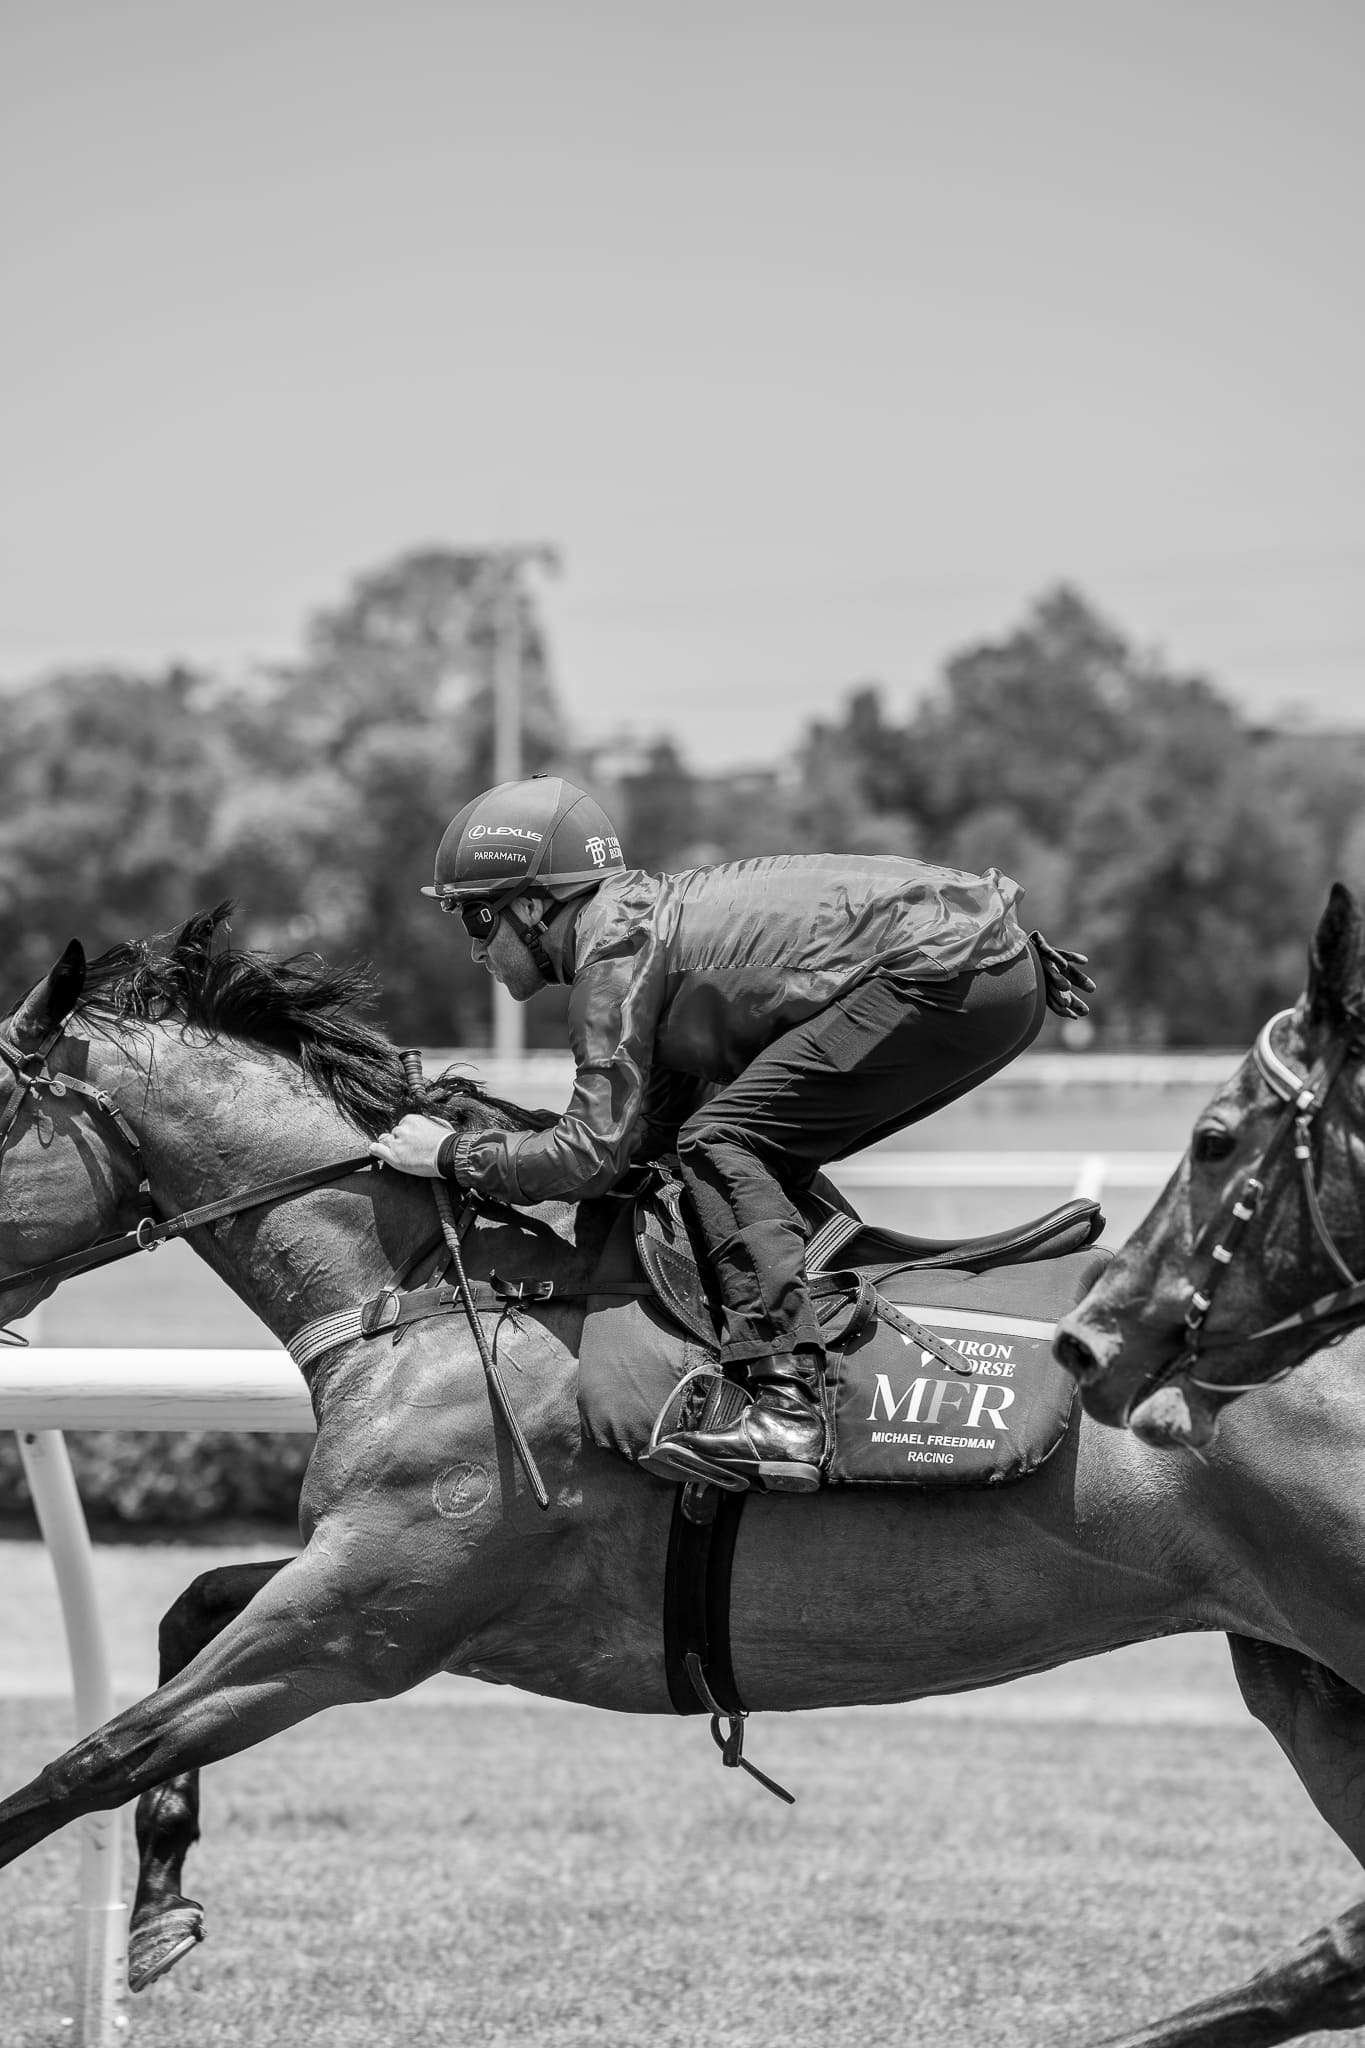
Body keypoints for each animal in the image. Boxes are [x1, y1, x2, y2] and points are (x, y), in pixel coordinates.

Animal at [5, 904, 1365, 2048]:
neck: (428, 1298)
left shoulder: (361, 1623)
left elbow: (89, 1758)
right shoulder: (370, 1583)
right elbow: (182, 1617)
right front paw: (162, 1905)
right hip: (1298, 1671)